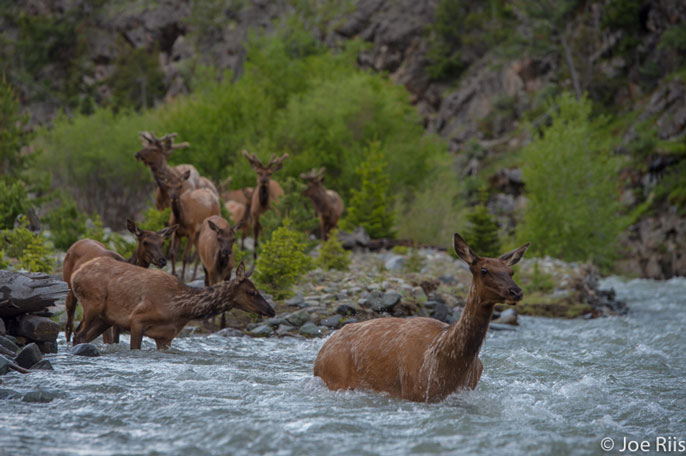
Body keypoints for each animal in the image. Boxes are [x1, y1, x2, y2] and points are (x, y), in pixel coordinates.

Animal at [71, 260, 272, 350]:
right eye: (252, 292)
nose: (271, 310)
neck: (181, 307)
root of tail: (75, 275)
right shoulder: (137, 320)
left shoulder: (165, 337)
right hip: (92, 305)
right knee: (78, 333)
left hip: (105, 318)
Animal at [314, 233, 532, 400]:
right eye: (484, 270)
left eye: (511, 271)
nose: (516, 292)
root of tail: (319, 356)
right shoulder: (415, 392)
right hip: (335, 378)